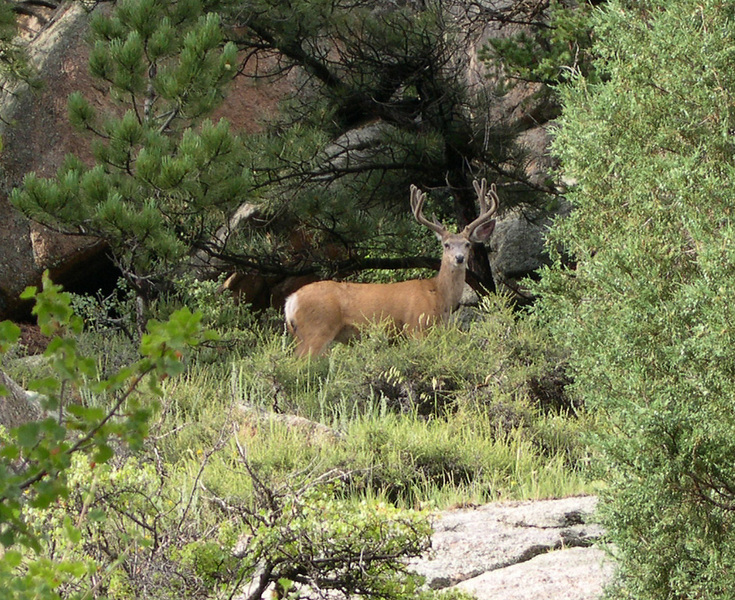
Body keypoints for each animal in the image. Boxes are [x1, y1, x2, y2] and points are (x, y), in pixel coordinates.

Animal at [284, 178, 500, 356]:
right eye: (446, 245)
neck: (439, 295)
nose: (459, 258)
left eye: (467, 244)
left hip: (301, 335)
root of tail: (290, 301)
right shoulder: (416, 326)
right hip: (317, 330)